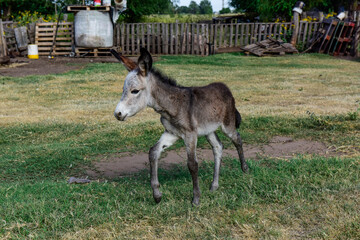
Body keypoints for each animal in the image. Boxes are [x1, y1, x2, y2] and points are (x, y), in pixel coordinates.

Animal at [112, 48, 248, 206]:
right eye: (123, 90)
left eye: (135, 91)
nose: (117, 114)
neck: (173, 106)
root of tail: (225, 87)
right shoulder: (171, 133)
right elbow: (153, 152)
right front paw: (157, 195)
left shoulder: (190, 135)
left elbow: (192, 164)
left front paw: (196, 199)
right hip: (208, 130)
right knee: (218, 147)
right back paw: (214, 185)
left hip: (227, 125)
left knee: (237, 139)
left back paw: (245, 169)